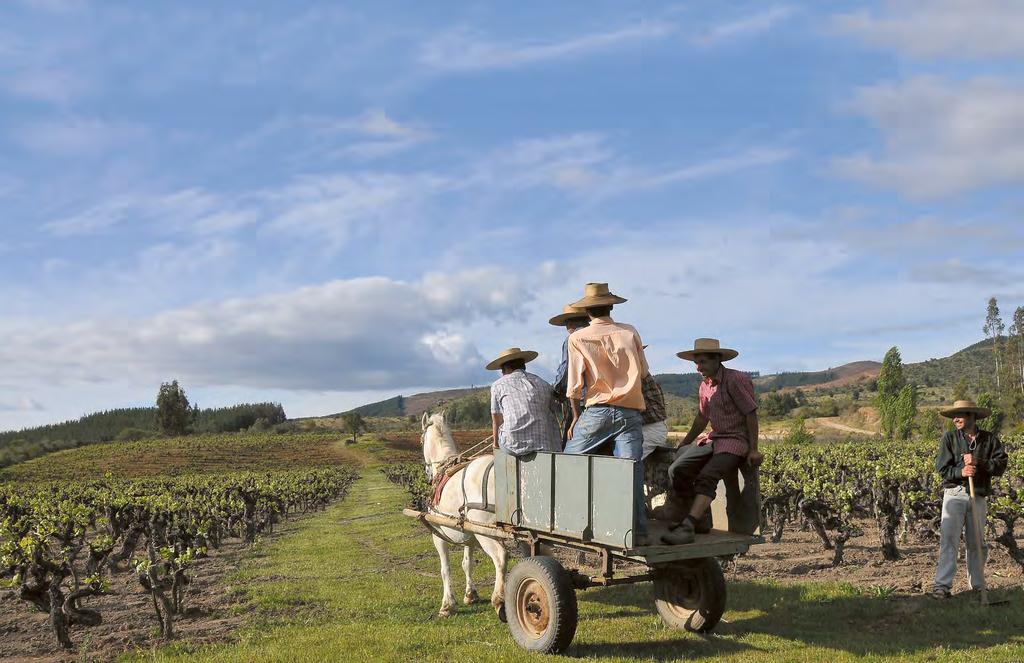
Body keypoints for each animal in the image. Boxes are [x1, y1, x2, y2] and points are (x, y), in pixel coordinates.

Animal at [419, 409, 507, 623]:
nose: (427, 472)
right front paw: (470, 594)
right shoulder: (469, 535)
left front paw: (447, 605)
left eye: (421, 439)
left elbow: (445, 569)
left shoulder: (438, 535)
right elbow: (467, 563)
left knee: (501, 557)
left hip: (487, 533)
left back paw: (499, 600)